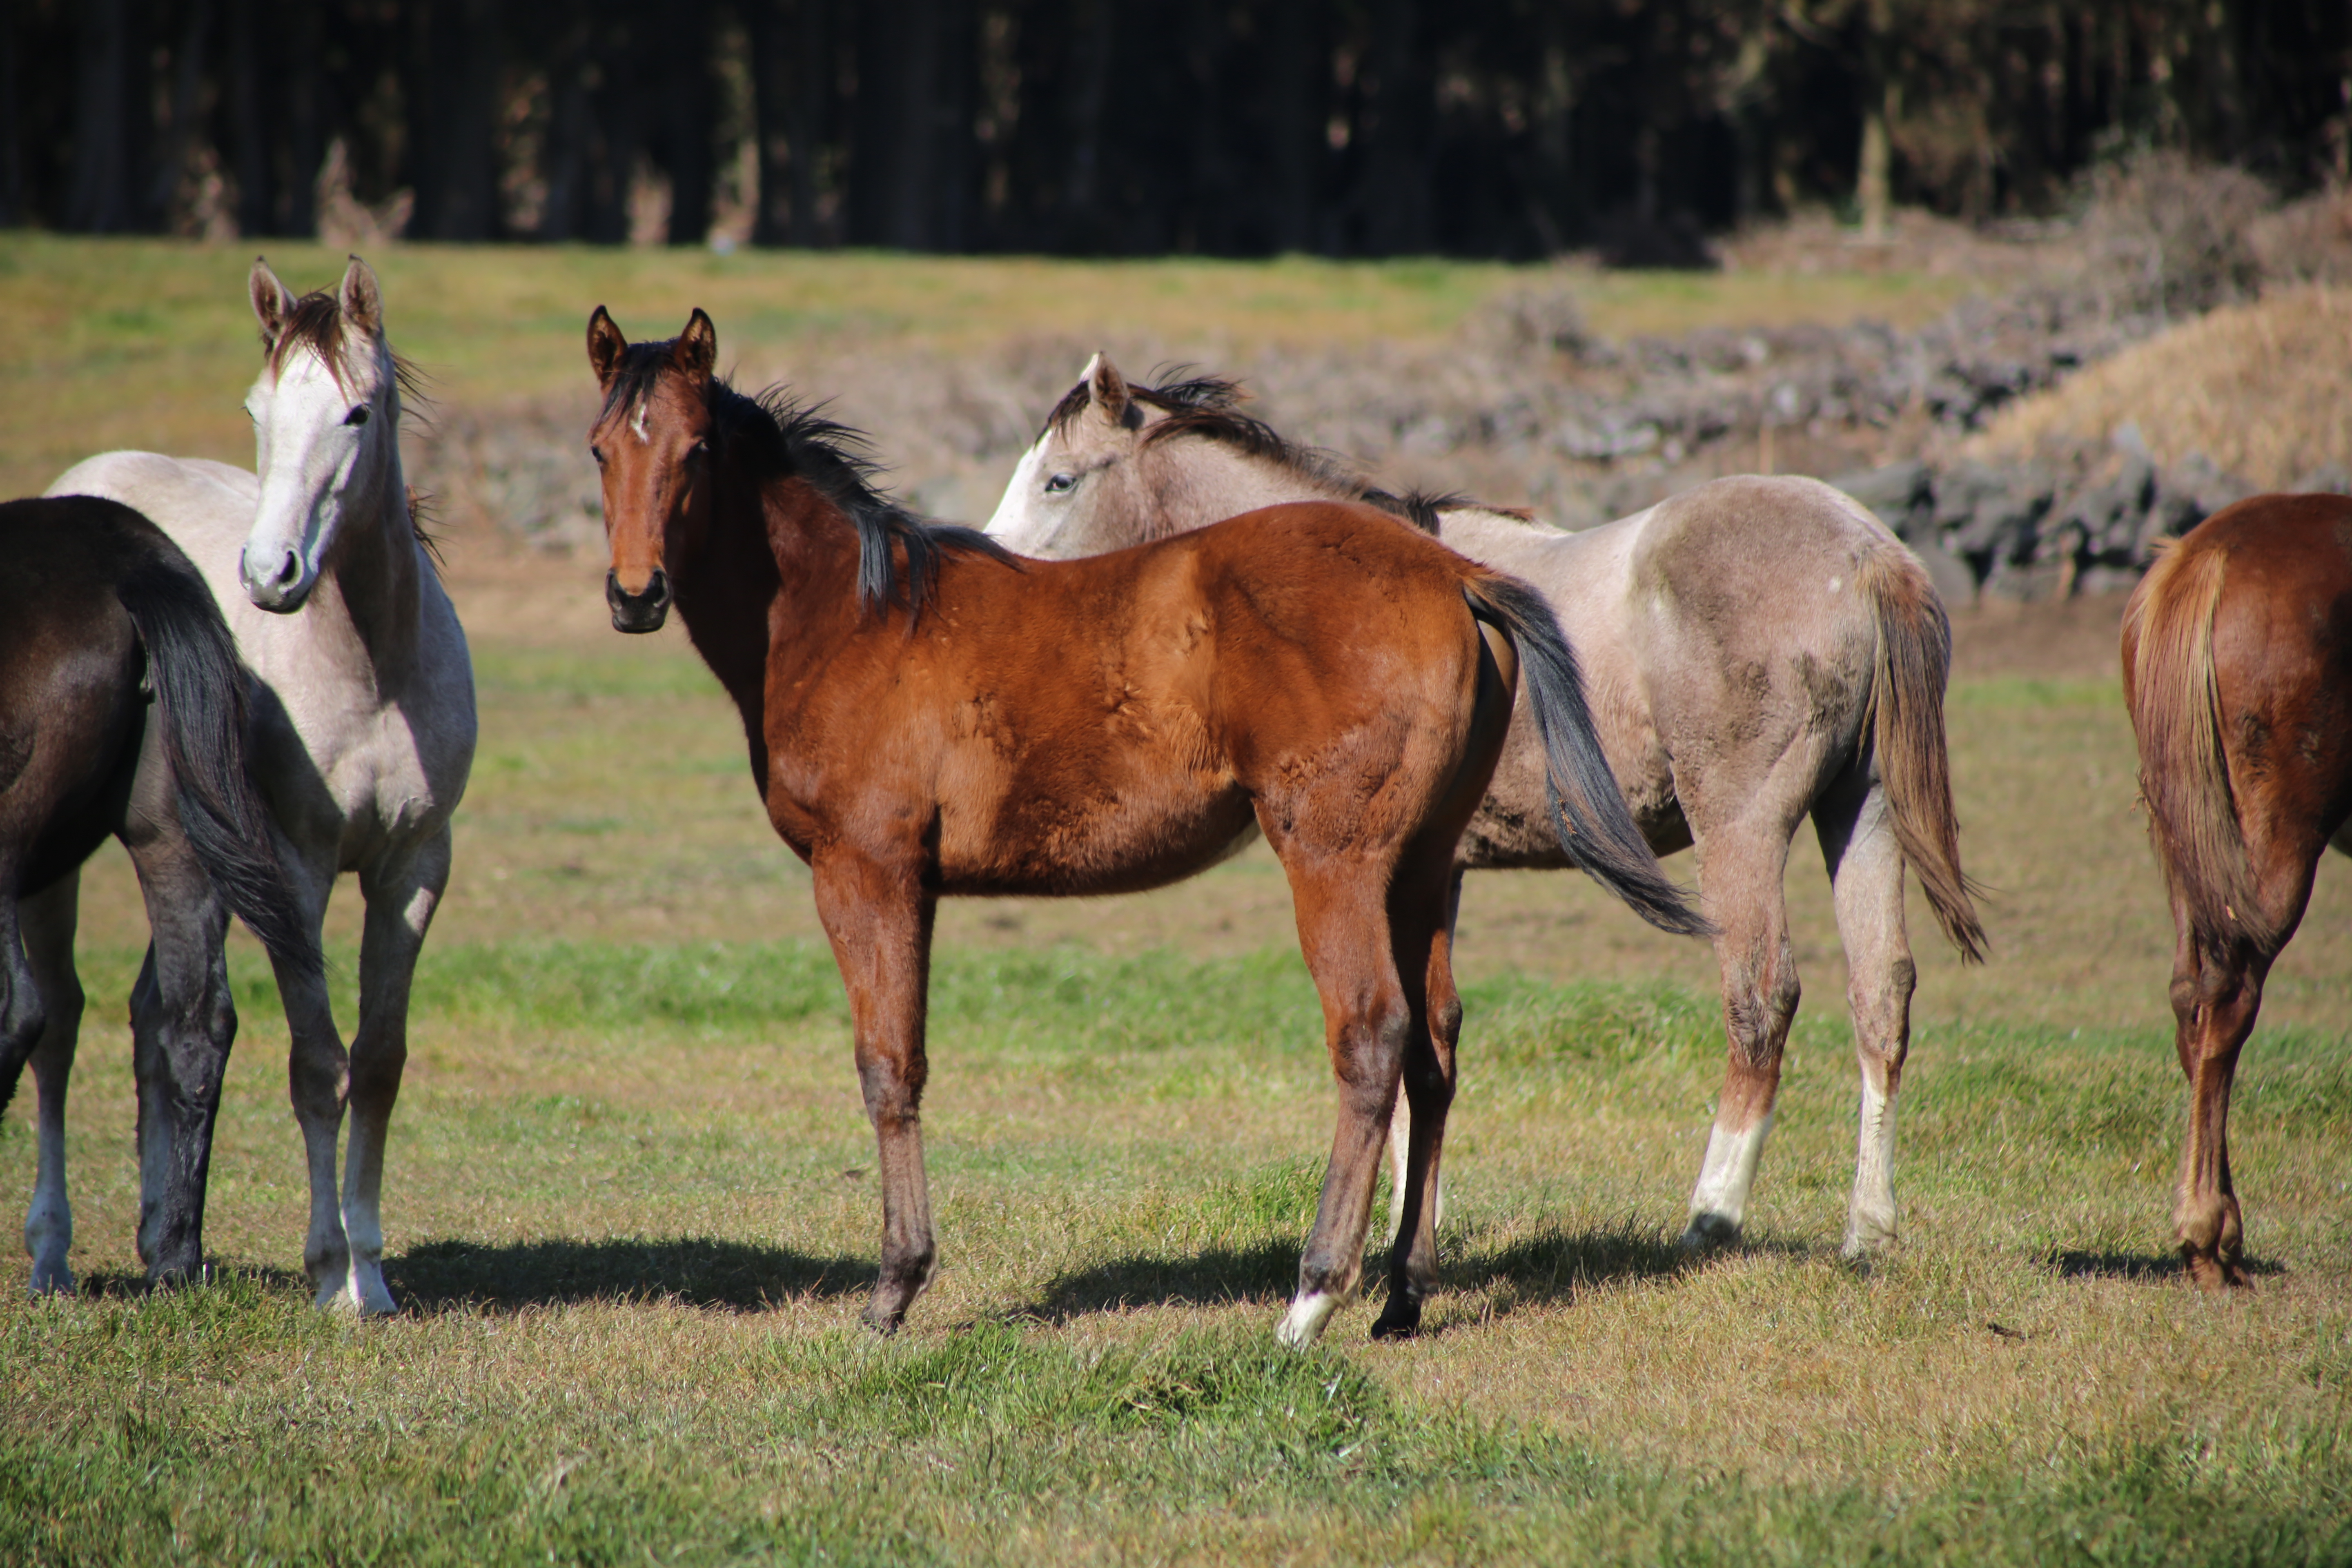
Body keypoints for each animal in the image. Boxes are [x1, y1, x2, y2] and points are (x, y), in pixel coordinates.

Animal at [41, 257, 475, 1316]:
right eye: (257, 409)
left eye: (358, 412)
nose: (270, 574)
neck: (371, 671)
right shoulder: (299, 871)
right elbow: (318, 1065)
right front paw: (330, 1275)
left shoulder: (415, 868)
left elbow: (381, 1061)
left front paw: (372, 1269)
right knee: (59, 1018)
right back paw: (52, 1255)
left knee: (156, 1014)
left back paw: (163, 1240)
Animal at [578, 310, 1703, 1354]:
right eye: (599, 449)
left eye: (696, 450)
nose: (635, 596)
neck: (856, 618)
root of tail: (1450, 572)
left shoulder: (867, 869)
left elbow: (889, 1066)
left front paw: (894, 1289)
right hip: (1420, 869)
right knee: (1432, 1051)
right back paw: (1399, 1300)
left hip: (1334, 861)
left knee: (1372, 1037)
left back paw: (1310, 1300)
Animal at [988, 359, 1985, 1260]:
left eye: (1059, 480)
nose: (996, 579)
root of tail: (1869, 555)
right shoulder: (1433, 873)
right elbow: (1430, 1035)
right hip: (1861, 814)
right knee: (1881, 996)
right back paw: (1867, 1231)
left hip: (1740, 827)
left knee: (1761, 994)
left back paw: (1711, 1217)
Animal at [2126, 496, 2342, 1297]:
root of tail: (2208, 556)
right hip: (2273, 836)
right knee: (2230, 996)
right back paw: (2206, 1235)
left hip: (2193, 833)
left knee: (2193, 998)